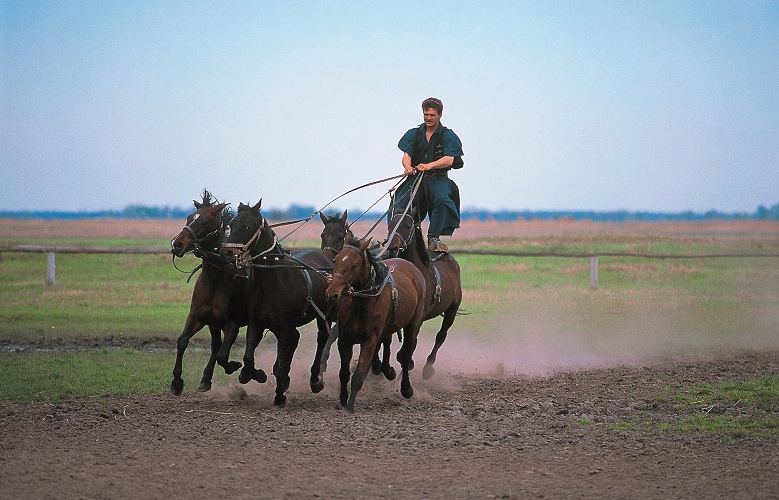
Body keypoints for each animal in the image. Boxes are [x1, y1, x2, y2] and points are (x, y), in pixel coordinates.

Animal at [170, 192, 247, 394]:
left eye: (205, 221)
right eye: (189, 218)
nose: (177, 244)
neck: (216, 279)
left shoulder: (232, 324)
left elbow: (223, 355)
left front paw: (233, 366)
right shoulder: (199, 317)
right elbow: (183, 341)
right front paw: (177, 382)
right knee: (215, 347)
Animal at [218, 199, 334, 406]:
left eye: (247, 226)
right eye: (230, 224)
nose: (226, 253)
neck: (274, 282)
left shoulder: (284, 327)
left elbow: (279, 364)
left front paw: (280, 394)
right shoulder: (256, 323)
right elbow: (248, 358)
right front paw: (254, 375)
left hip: (324, 316)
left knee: (322, 338)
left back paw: (315, 380)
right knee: (296, 338)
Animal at [328, 236, 430, 412]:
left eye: (355, 264)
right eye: (336, 260)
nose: (332, 294)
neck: (361, 303)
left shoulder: (370, 340)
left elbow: (359, 374)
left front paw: (350, 405)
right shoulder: (344, 339)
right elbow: (344, 373)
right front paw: (342, 399)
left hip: (413, 324)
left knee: (406, 355)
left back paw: (406, 388)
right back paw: (387, 370)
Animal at [386, 208, 460, 378]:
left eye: (407, 226)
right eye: (391, 224)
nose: (392, 248)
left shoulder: (418, 316)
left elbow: (410, 345)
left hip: (452, 310)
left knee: (441, 335)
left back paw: (428, 367)